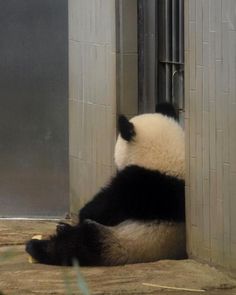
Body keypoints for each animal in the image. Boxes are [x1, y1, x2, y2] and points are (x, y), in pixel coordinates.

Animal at [24, 103, 185, 268]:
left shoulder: (143, 185)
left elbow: (108, 206)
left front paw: (84, 213)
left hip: (120, 242)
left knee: (78, 245)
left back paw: (40, 247)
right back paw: (62, 228)